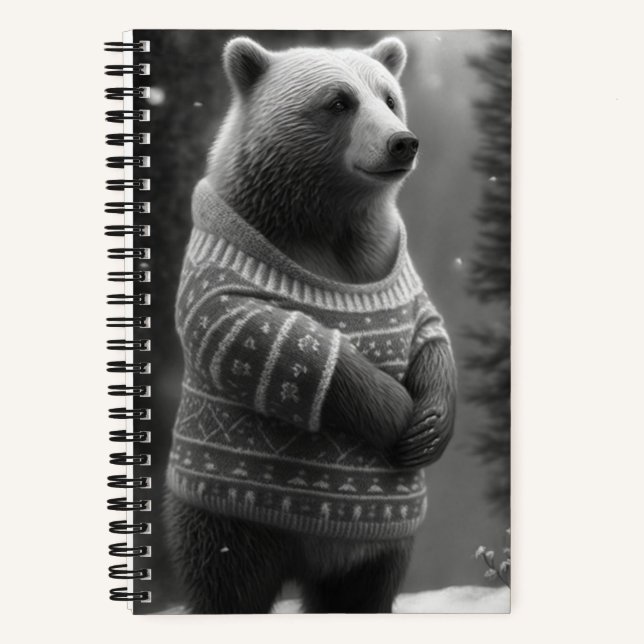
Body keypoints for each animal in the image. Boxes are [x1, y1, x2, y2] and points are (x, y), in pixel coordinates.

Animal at [164, 35, 457, 614]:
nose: (402, 143)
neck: (324, 221)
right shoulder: (224, 260)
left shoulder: (390, 263)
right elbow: (265, 341)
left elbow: (429, 331)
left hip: (381, 544)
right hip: (231, 519)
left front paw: (430, 426)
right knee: (228, 585)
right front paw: (397, 413)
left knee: (363, 590)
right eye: (339, 101)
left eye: (389, 98)